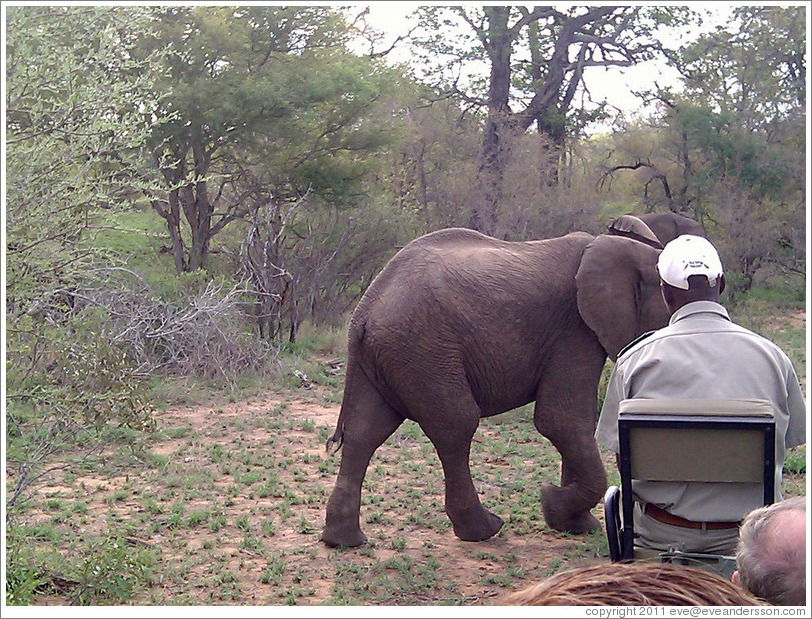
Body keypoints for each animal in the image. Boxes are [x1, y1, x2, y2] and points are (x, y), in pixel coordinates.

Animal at [321, 217, 672, 548]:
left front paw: (576, 524)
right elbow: (562, 420)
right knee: (456, 424)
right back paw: (483, 529)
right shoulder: (575, 331)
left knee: (365, 432)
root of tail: (364, 311)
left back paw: (343, 540)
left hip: (389, 354)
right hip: (423, 348)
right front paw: (552, 502)